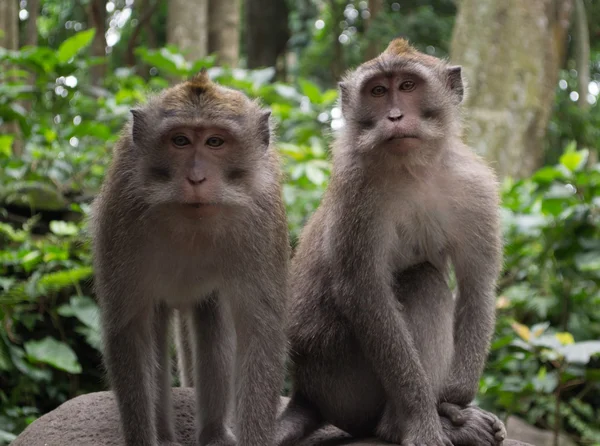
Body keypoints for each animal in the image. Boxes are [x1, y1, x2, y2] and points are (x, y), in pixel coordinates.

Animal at [91, 71, 290, 444]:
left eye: (215, 142)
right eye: (180, 141)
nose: (196, 177)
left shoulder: (263, 215)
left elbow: (259, 330)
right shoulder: (121, 211)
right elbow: (129, 329)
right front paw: (143, 438)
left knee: (214, 327)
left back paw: (214, 432)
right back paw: (166, 434)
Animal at [276, 39, 506, 446]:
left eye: (408, 86)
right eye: (378, 91)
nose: (395, 116)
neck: (414, 168)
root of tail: (307, 392)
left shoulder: (474, 187)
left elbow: (477, 285)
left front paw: (456, 397)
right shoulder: (356, 192)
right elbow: (365, 293)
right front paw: (425, 417)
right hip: (343, 376)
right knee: (423, 282)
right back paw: (399, 425)